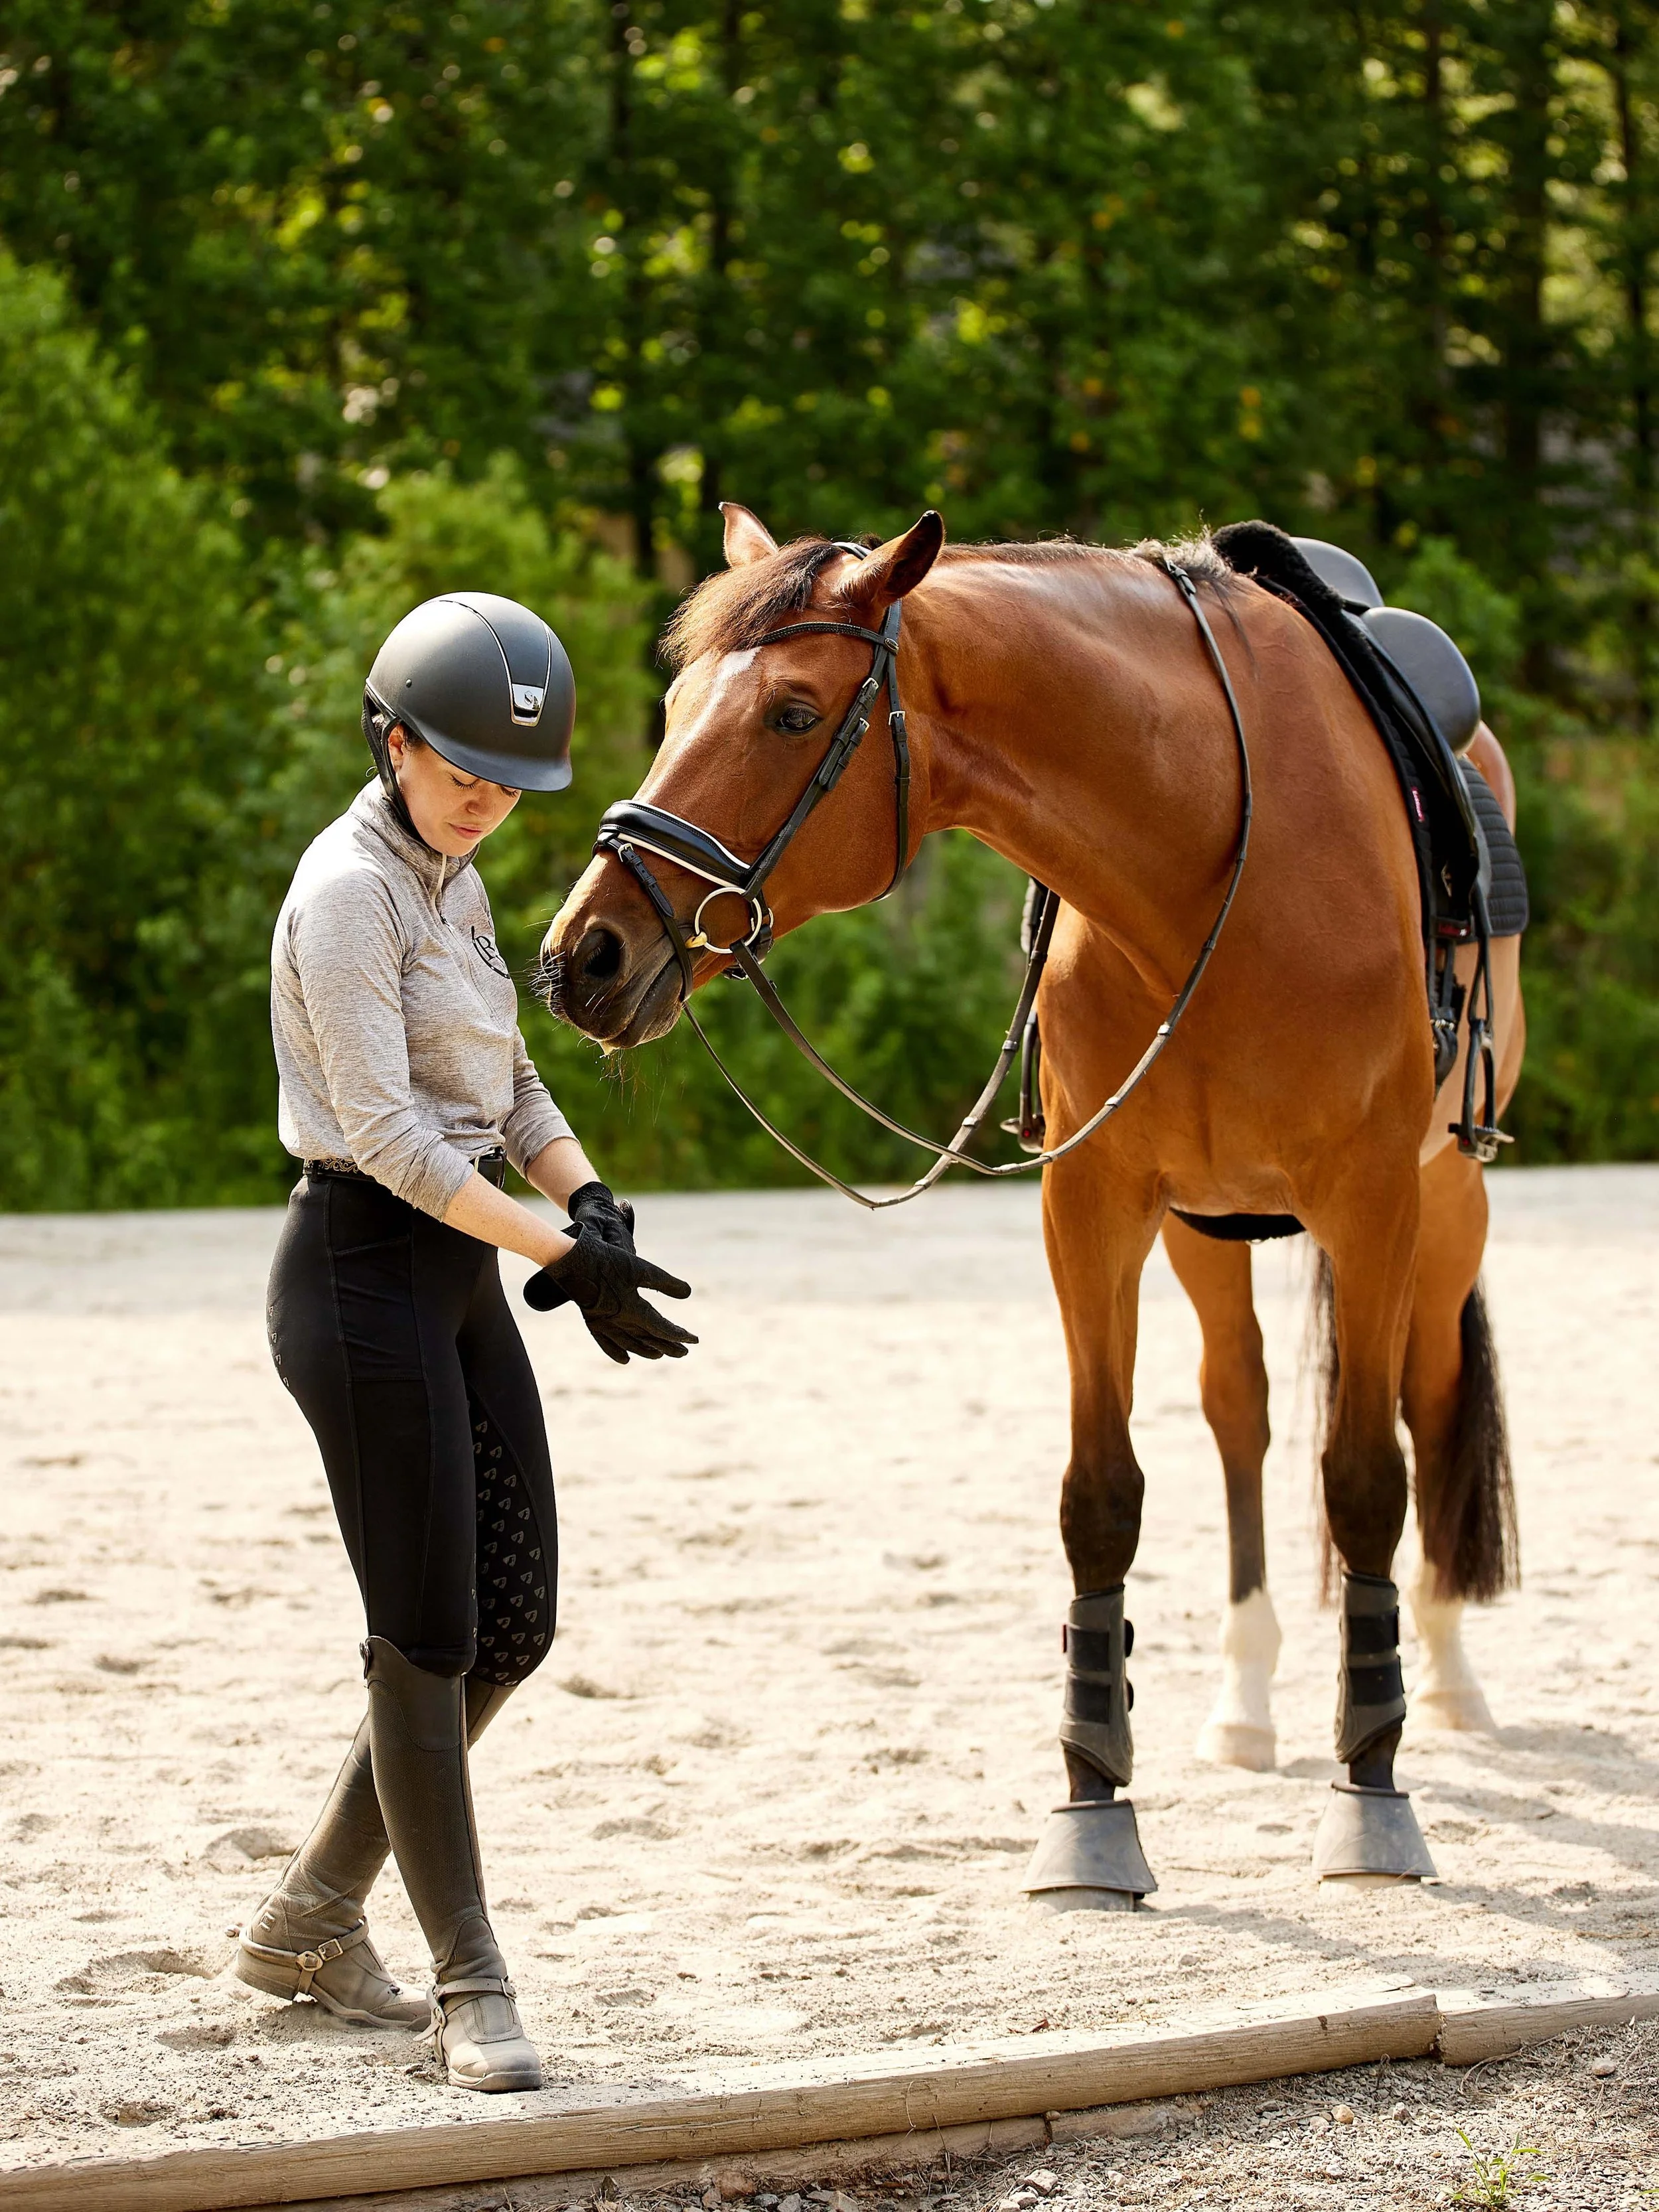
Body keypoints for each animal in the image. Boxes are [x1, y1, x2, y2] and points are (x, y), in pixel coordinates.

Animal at [542, 502, 1525, 1902]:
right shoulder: (1096, 1203)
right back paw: (1247, 1700)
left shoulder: (1375, 1196)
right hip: (1209, 1225)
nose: (587, 954)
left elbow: (1365, 1480)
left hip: (1444, 1208)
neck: (1216, 851)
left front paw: (1373, 1793)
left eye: (793, 712)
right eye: (677, 703)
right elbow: (1100, 1493)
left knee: (1430, 1403)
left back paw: (1443, 1677)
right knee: (1240, 1413)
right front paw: (1093, 1807)